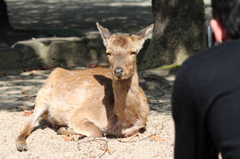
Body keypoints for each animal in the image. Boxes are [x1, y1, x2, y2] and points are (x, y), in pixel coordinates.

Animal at [15, 22, 154, 150]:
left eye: (133, 52)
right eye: (108, 53)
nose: (118, 71)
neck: (124, 121)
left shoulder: (140, 125)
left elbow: (131, 132)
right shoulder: (79, 114)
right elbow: (97, 132)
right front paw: (70, 131)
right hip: (42, 97)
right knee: (29, 123)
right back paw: (22, 144)